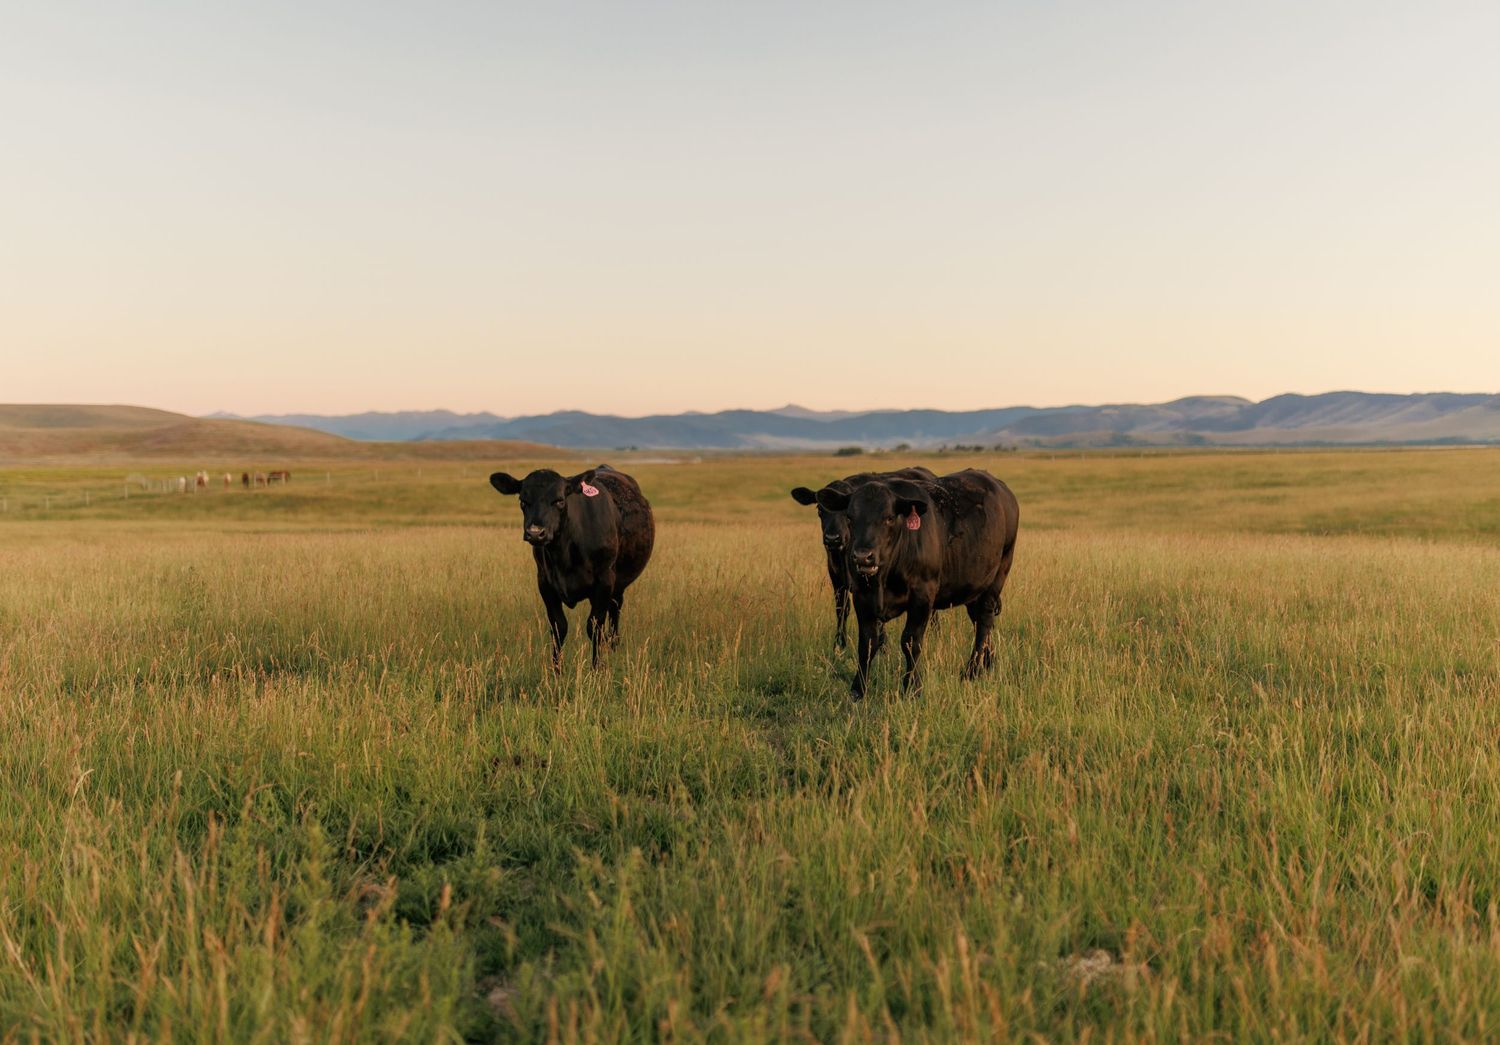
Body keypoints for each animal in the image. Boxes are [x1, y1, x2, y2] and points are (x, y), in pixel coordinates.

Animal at [488, 464, 654, 668]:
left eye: (559, 501)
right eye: (523, 501)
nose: (535, 533)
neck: (564, 556)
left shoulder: (605, 580)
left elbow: (595, 627)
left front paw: (597, 668)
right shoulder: (545, 582)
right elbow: (558, 627)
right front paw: (556, 670)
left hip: (618, 584)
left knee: (615, 609)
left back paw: (614, 647)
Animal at [789, 466, 937, 652]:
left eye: (846, 514)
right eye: (819, 510)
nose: (832, 539)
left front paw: (882, 646)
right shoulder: (836, 578)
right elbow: (842, 609)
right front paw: (839, 645)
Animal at [815, 469, 1018, 699]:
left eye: (889, 517)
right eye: (850, 517)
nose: (863, 556)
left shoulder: (922, 596)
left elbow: (910, 642)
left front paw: (913, 687)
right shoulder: (861, 596)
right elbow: (867, 643)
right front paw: (858, 690)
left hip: (997, 576)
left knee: (984, 622)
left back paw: (971, 671)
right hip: (974, 586)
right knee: (980, 622)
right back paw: (988, 662)